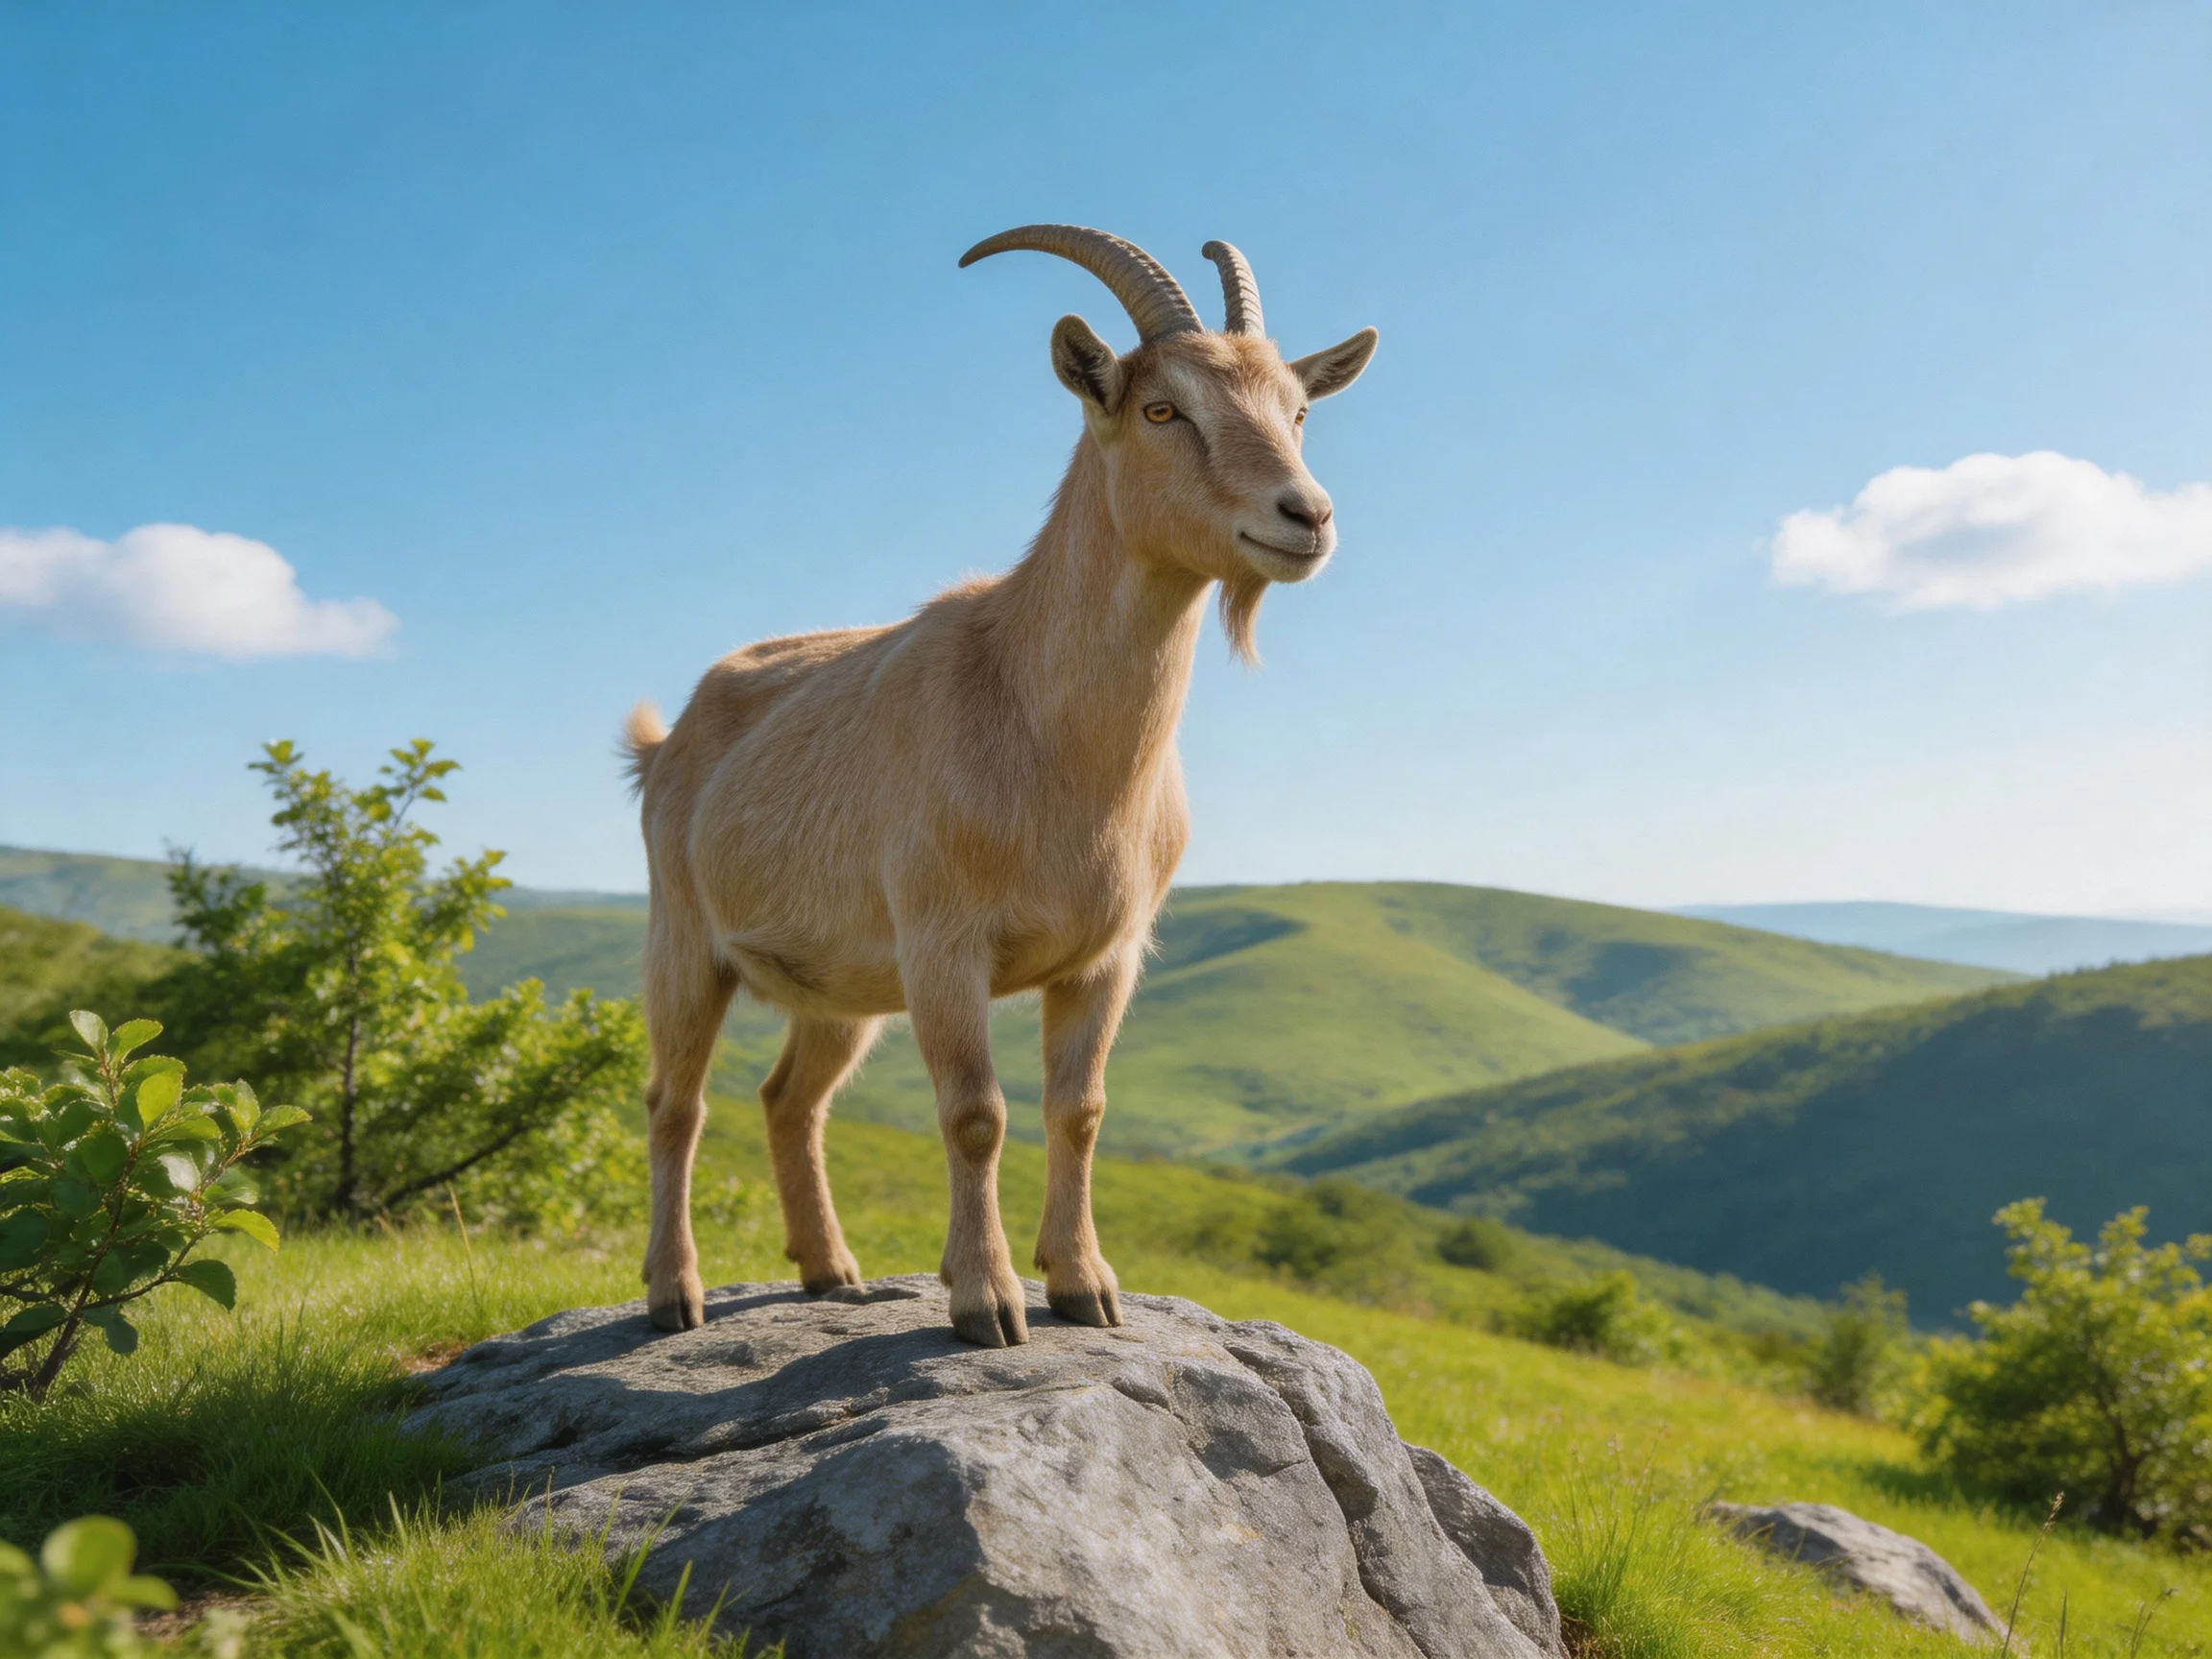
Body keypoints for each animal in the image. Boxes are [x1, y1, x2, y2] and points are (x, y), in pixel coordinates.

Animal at [625, 225, 1377, 1345]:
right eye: (1163, 409)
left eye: (1298, 411)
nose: (1308, 515)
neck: (1049, 734)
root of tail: (666, 742)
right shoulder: (946, 945)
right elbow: (977, 1114)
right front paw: (987, 1302)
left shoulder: (1107, 956)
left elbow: (1080, 1110)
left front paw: (1083, 1286)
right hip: (683, 939)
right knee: (677, 1102)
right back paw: (676, 1294)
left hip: (842, 985)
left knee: (789, 1097)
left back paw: (829, 1270)